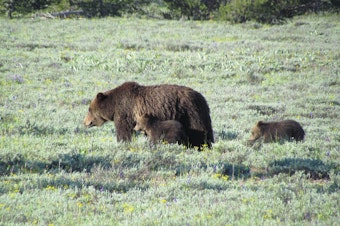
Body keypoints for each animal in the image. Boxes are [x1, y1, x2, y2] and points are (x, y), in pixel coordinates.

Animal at [83, 82, 214, 147]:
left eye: (89, 109)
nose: (85, 122)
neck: (113, 106)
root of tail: (202, 97)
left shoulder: (125, 112)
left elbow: (123, 131)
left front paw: (122, 142)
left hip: (190, 112)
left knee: (199, 131)